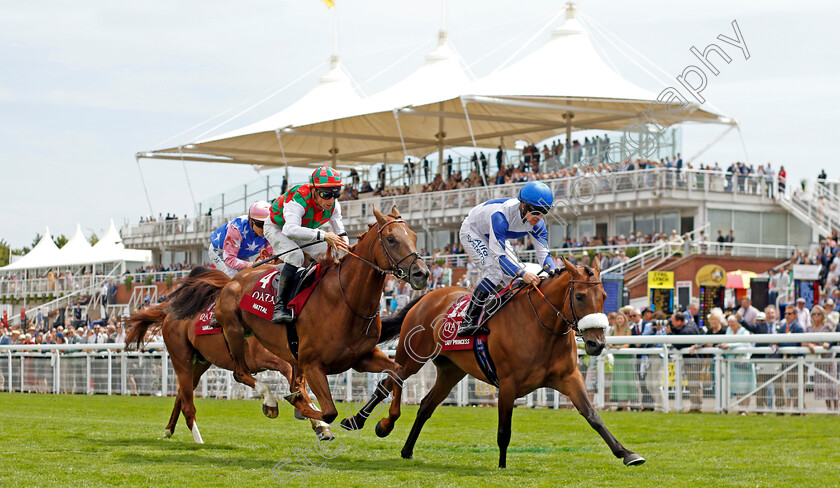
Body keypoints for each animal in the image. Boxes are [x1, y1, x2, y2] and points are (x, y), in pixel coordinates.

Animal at [126, 266, 334, 442]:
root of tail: (168, 314)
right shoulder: (268, 359)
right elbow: (285, 383)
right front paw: (271, 403)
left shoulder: (298, 360)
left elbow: (300, 389)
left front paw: (320, 426)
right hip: (181, 358)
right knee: (187, 404)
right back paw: (199, 442)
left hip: (201, 362)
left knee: (181, 394)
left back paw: (168, 430)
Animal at [215, 206, 434, 424]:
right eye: (391, 239)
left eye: (414, 236)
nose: (422, 274)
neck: (345, 303)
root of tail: (236, 278)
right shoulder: (312, 365)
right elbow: (329, 412)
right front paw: (300, 403)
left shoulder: (362, 358)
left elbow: (397, 371)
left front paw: (383, 423)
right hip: (233, 329)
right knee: (240, 372)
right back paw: (270, 401)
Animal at [344, 258, 648, 468]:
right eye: (580, 296)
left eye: (605, 297)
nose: (597, 344)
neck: (542, 326)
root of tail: (428, 296)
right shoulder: (508, 383)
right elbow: (504, 429)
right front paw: (502, 465)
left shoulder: (570, 377)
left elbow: (593, 416)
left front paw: (627, 453)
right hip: (411, 357)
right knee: (387, 383)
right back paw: (363, 422)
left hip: (451, 370)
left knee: (426, 405)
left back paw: (407, 449)